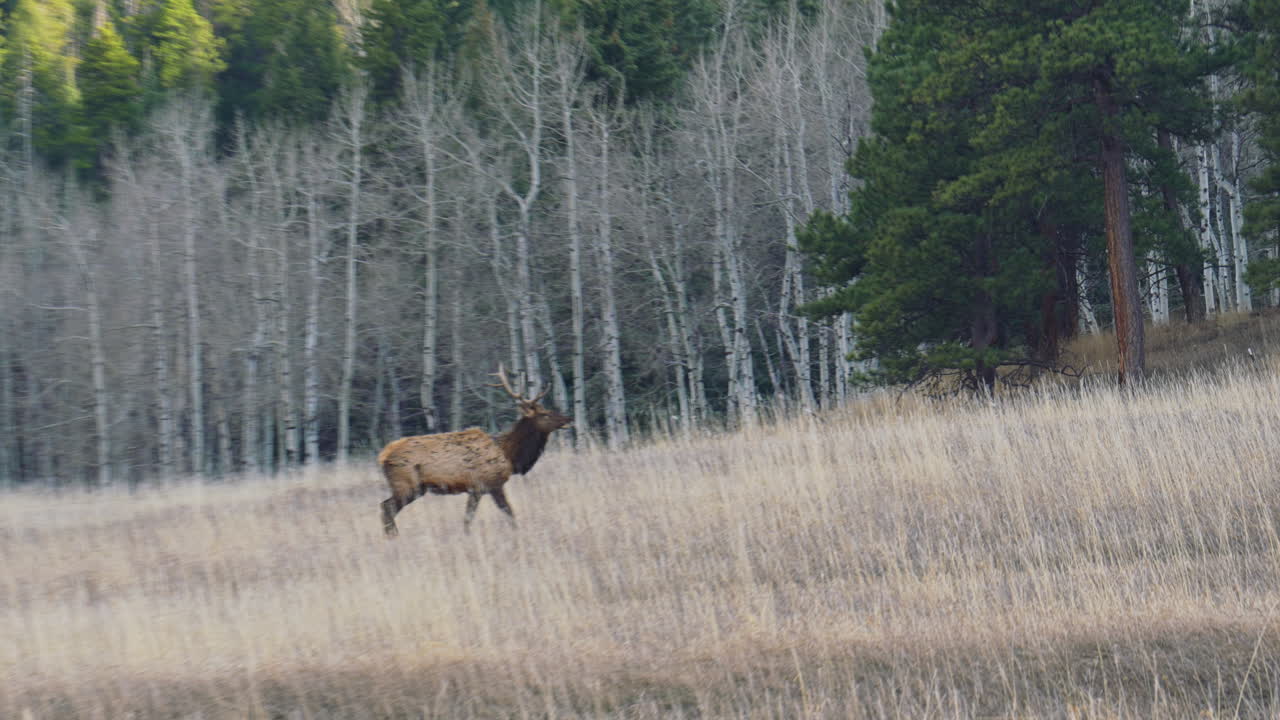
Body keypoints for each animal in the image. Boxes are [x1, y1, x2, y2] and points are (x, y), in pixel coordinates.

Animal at [378, 365, 572, 537]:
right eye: (545, 414)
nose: (568, 418)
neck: (509, 455)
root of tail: (382, 456)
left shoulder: (479, 488)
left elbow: (476, 517)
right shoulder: (486, 484)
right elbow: (501, 513)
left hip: (413, 487)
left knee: (385, 506)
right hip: (406, 484)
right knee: (387, 507)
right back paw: (394, 538)